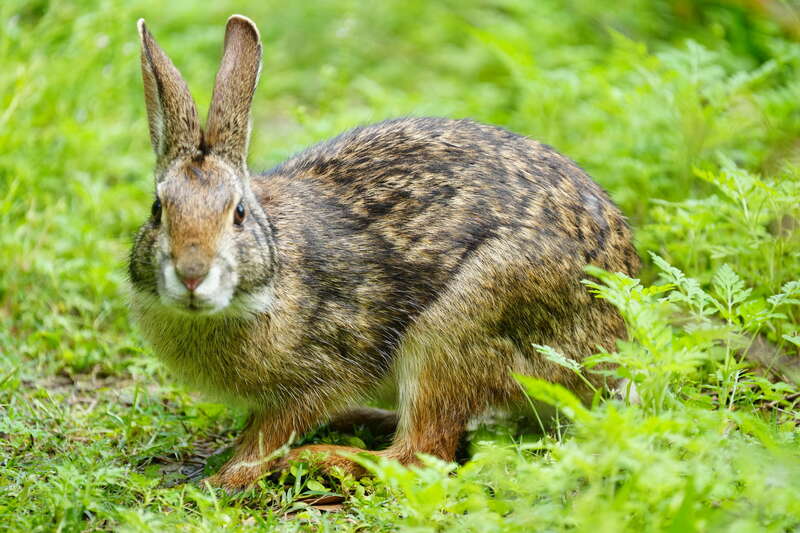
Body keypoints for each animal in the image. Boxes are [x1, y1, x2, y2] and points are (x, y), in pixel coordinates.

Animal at [129, 14, 640, 491]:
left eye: (237, 213)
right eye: (157, 210)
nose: (192, 274)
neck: (276, 274)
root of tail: (612, 349)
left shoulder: (325, 368)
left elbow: (269, 434)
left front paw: (226, 478)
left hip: (457, 329)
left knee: (421, 454)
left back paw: (318, 458)